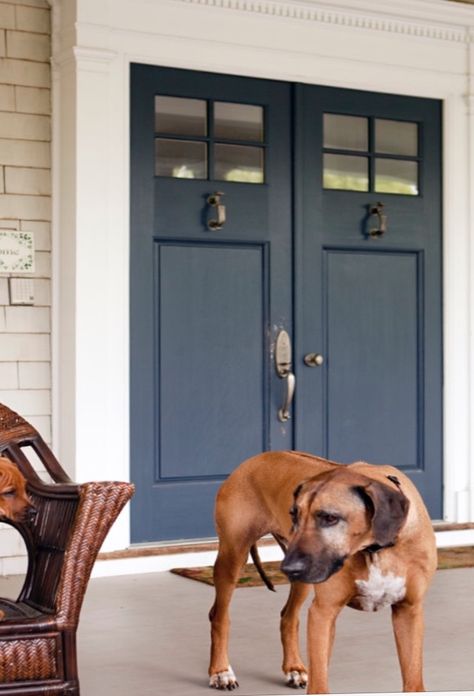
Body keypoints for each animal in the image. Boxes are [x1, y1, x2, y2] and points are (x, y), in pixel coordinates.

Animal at [207, 452, 436, 692]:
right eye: (294, 515)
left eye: (330, 518)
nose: (287, 568)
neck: (375, 549)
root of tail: (256, 457)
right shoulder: (323, 613)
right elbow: (320, 681)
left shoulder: (409, 610)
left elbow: (413, 680)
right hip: (234, 557)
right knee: (219, 616)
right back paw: (221, 672)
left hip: (303, 578)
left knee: (288, 617)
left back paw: (294, 668)